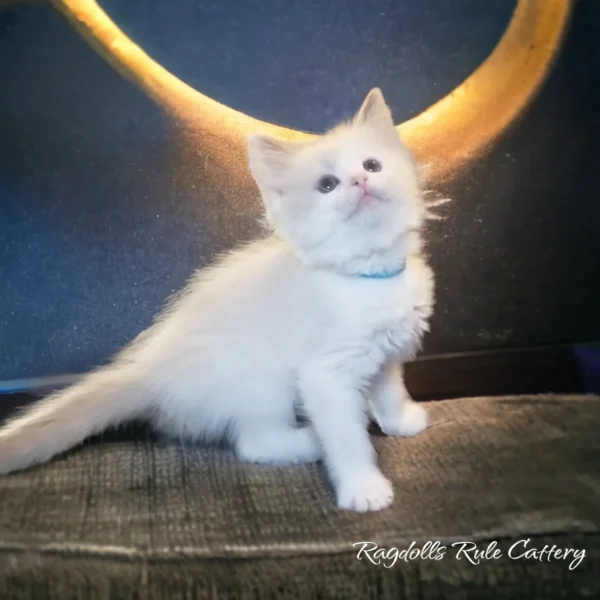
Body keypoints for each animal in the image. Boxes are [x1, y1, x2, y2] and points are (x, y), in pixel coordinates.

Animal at [0, 89, 434, 510]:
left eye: (372, 165)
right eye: (327, 185)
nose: (360, 180)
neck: (369, 276)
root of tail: (150, 372)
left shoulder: (388, 352)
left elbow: (390, 390)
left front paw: (400, 421)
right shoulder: (326, 375)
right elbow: (348, 437)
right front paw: (364, 488)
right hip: (260, 379)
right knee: (255, 444)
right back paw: (309, 441)